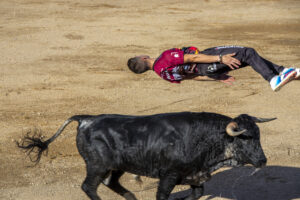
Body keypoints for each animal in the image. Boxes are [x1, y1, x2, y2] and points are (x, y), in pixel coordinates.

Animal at [15, 111, 274, 199]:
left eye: (259, 135)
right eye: (245, 138)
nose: (262, 161)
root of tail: (86, 119)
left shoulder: (195, 176)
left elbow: (197, 195)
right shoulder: (169, 176)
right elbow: (162, 196)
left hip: (117, 167)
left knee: (111, 183)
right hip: (97, 166)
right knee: (89, 187)